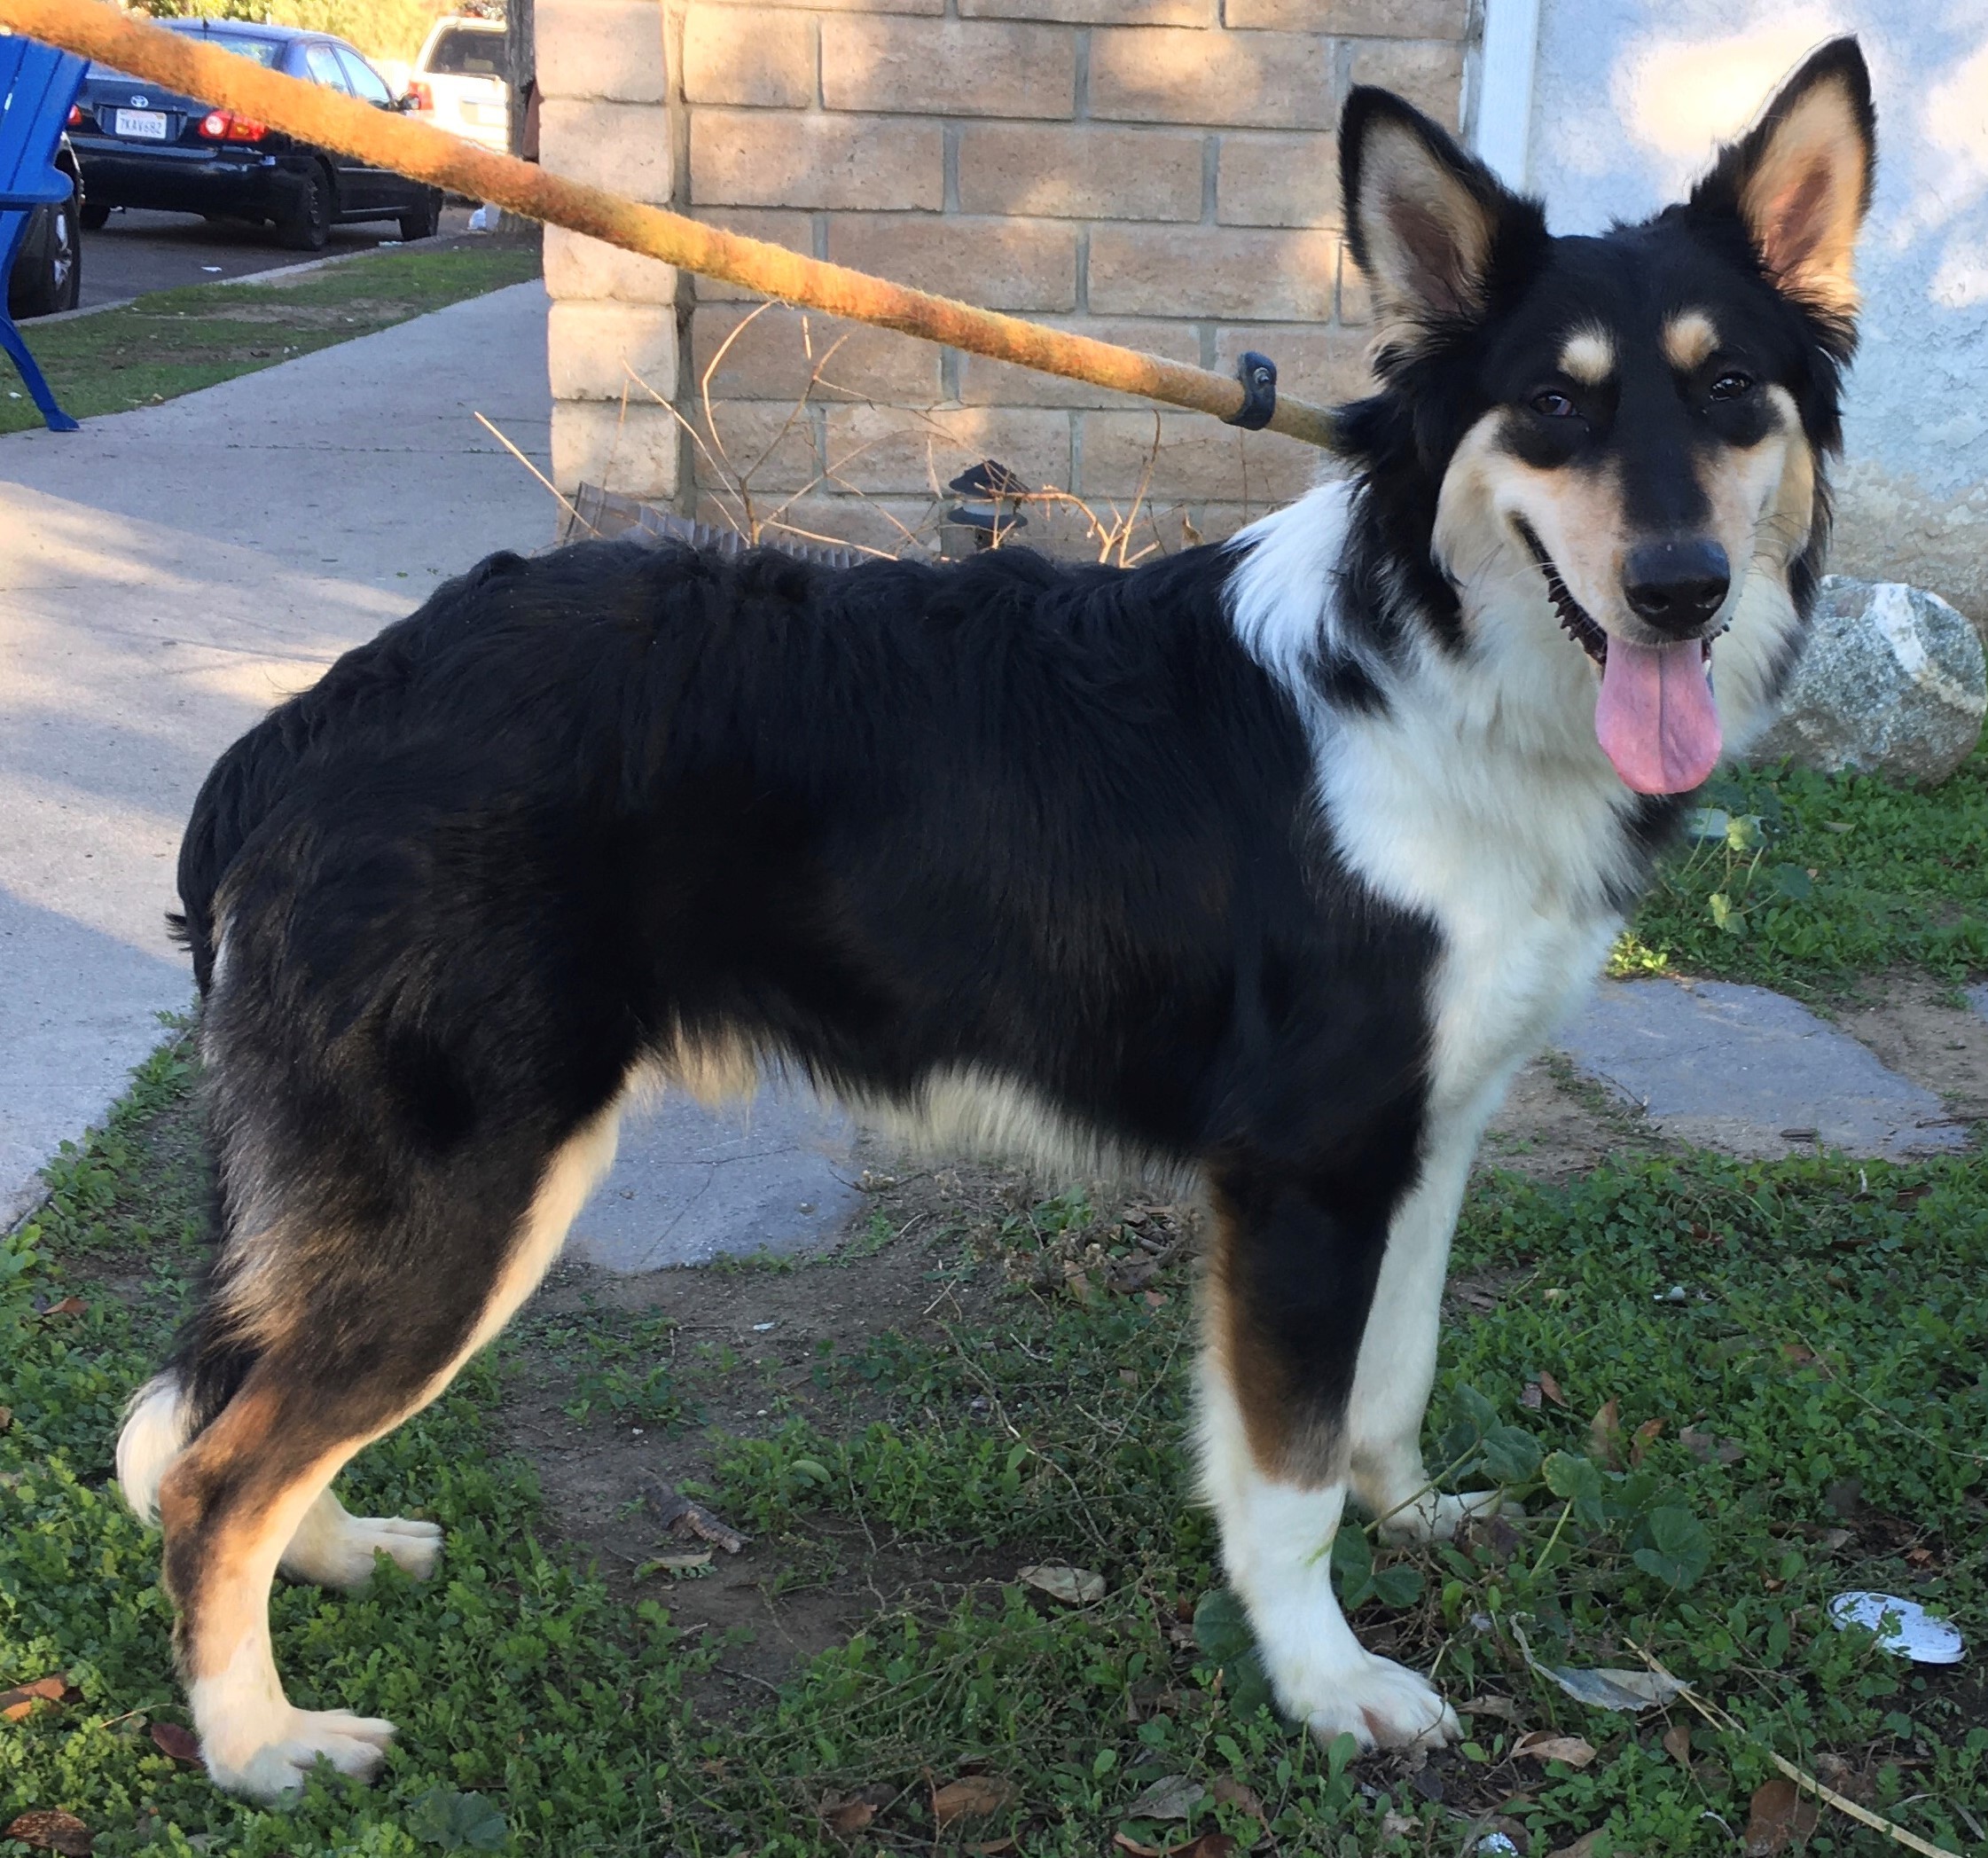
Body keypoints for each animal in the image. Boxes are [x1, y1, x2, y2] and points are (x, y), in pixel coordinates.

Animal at [116, 40, 1868, 1806]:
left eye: (1732, 391)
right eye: (1554, 405)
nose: (1679, 587)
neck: (1432, 661)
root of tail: (323, 713)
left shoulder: (1422, 1137)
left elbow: (1393, 1373)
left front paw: (1418, 1515)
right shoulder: (1302, 1169)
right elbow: (1288, 1470)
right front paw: (1326, 1681)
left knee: (242, 1418)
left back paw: (334, 1553)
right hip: (467, 1192)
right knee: (214, 1477)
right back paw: (261, 1743)